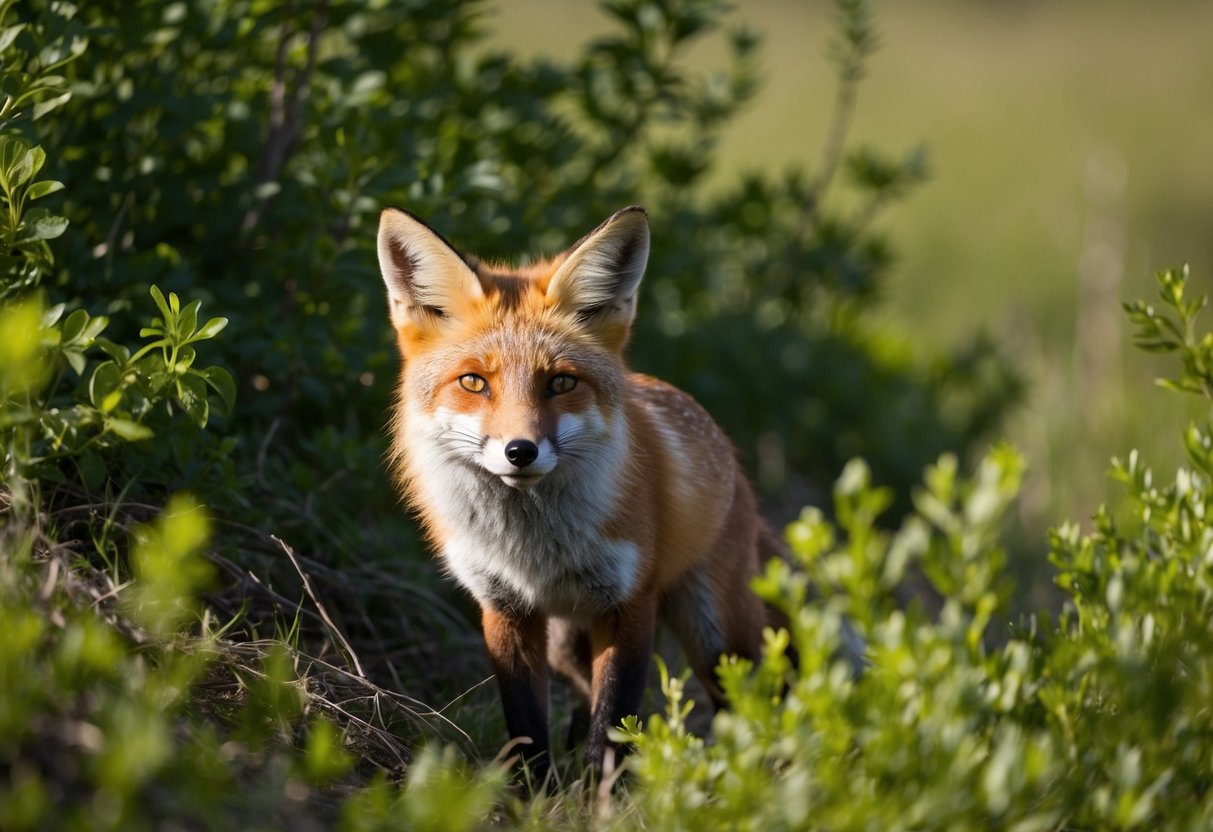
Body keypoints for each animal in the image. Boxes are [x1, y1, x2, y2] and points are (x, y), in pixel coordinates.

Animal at [376, 205, 777, 780]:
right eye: (474, 383)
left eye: (561, 383)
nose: (520, 451)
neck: (534, 549)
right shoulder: (504, 609)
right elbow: (527, 723)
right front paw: (533, 791)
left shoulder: (631, 604)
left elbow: (613, 724)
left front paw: (599, 795)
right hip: (568, 643)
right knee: (581, 691)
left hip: (716, 637)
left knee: (764, 697)